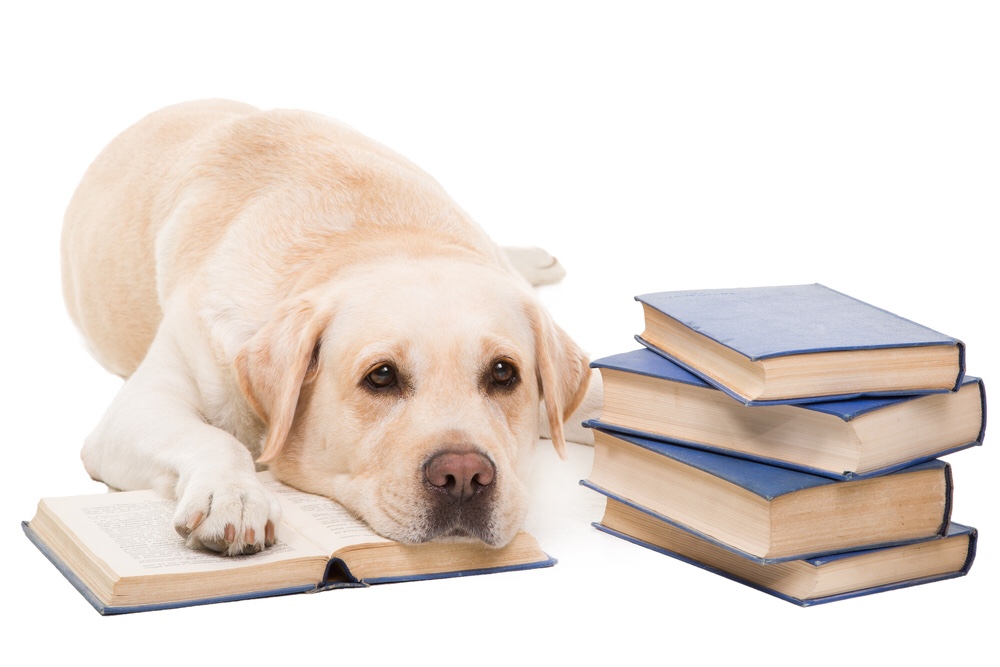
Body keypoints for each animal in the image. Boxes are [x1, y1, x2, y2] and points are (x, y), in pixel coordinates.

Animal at [64, 99, 600, 560]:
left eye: (504, 373)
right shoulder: (137, 407)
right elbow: (217, 439)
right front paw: (234, 495)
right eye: (380, 376)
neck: (374, 236)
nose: (464, 475)